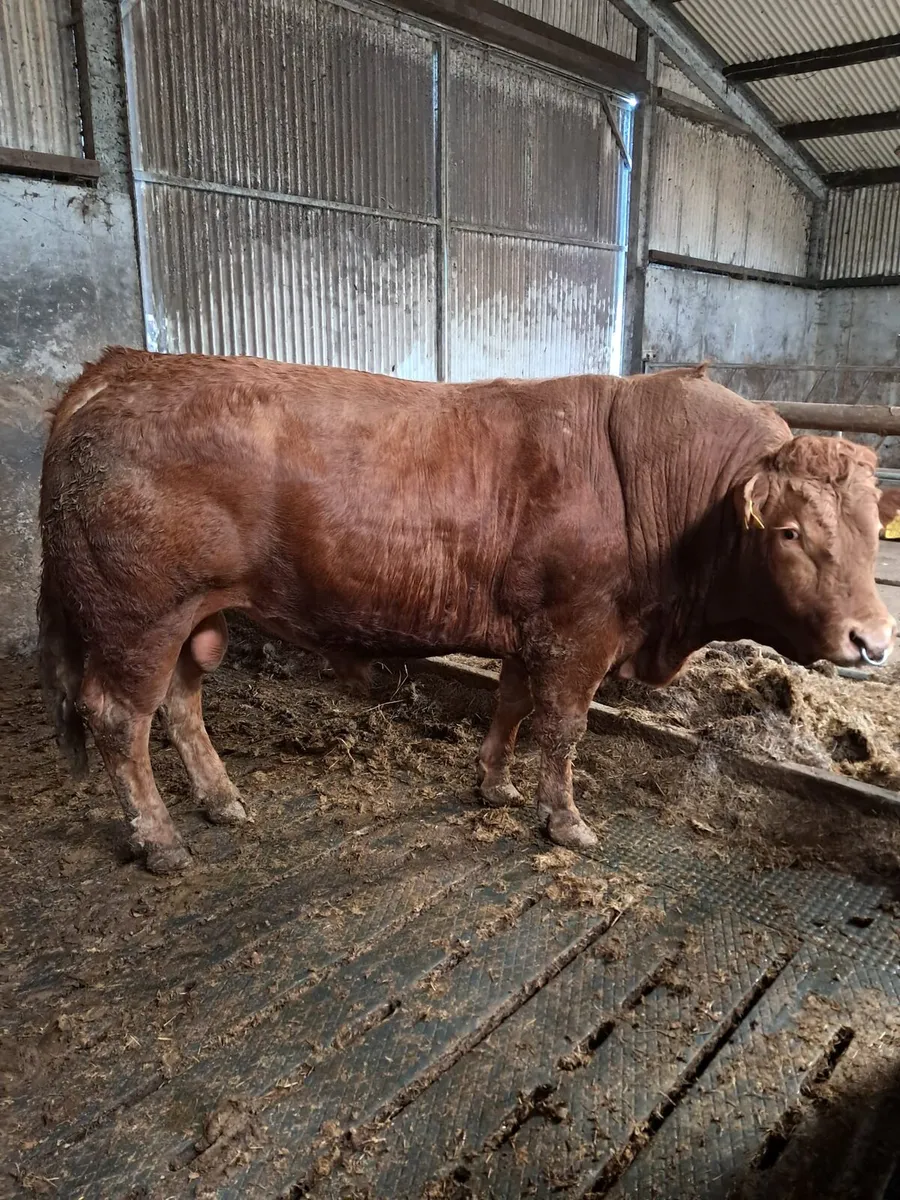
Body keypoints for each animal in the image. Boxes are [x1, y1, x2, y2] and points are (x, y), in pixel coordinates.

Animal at [38, 349, 896, 873]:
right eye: (789, 532)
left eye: (867, 527)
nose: (875, 640)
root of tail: (117, 369)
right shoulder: (578, 632)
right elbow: (562, 729)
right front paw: (564, 819)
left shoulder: (531, 632)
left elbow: (510, 708)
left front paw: (495, 786)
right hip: (138, 616)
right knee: (120, 718)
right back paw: (159, 841)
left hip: (192, 620)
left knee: (179, 706)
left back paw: (222, 801)